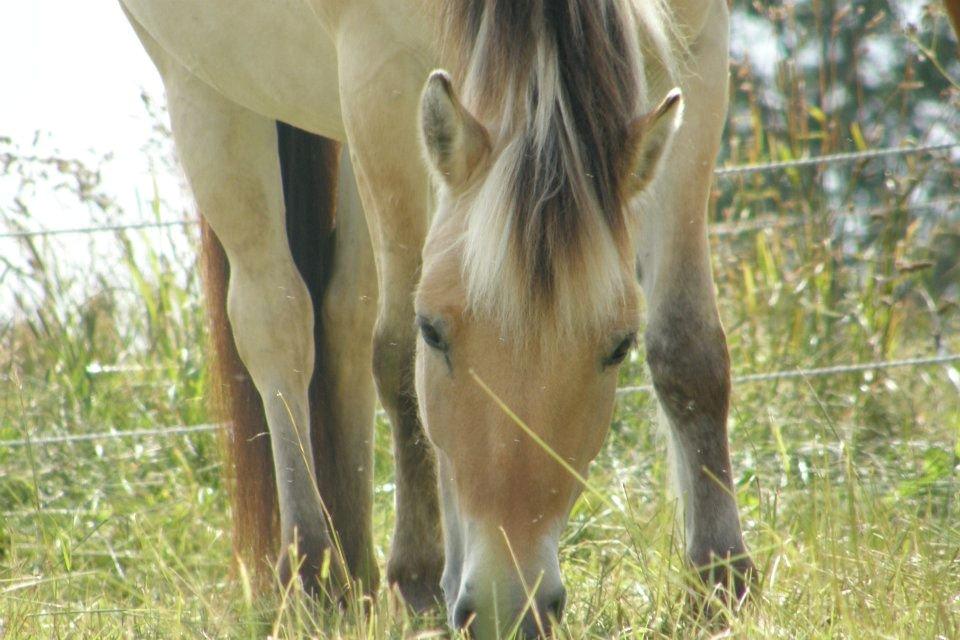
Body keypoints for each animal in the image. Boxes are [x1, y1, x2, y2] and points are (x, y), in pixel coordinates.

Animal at [120, 0, 752, 636]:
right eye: (435, 332)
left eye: (620, 346)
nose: (507, 605)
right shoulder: (378, 79)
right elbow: (399, 359)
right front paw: (419, 577)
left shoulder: (701, 55)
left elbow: (689, 349)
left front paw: (719, 581)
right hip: (205, 87)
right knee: (277, 320)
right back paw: (310, 572)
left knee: (343, 312)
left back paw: (354, 571)